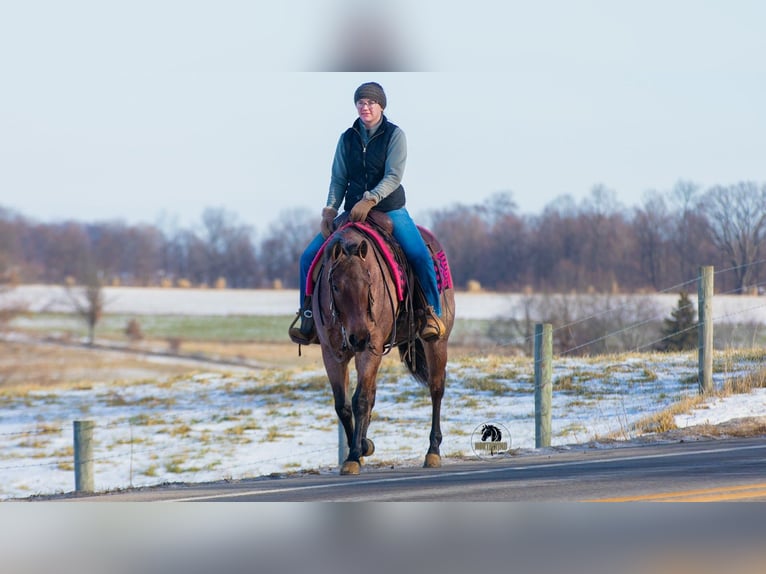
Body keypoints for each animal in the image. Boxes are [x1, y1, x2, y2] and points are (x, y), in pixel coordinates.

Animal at [308, 211, 455, 475]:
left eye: (368, 283)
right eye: (335, 286)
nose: (358, 337)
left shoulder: (371, 347)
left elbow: (361, 399)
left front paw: (354, 456)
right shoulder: (332, 353)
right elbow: (344, 405)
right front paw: (360, 448)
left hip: (437, 341)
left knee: (436, 388)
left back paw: (433, 451)